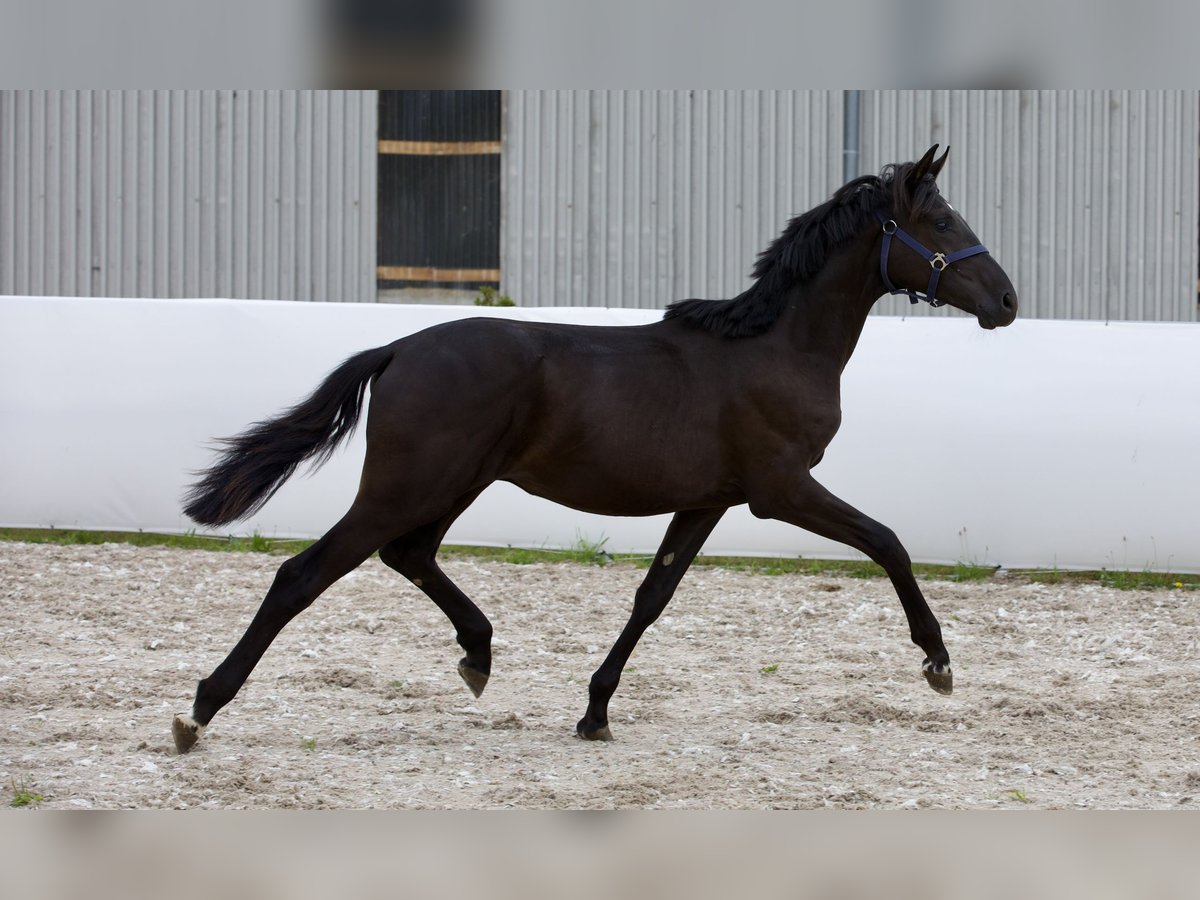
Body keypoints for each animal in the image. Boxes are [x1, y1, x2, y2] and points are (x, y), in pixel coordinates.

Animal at [174, 146, 1012, 753]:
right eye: (940, 220)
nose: (1006, 300)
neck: (776, 347)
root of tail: (399, 347)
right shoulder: (780, 490)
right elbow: (888, 541)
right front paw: (937, 663)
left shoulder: (708, 501)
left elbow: (653, 596)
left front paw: (595, 712)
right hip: (407, 485)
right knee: (304, 574)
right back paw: (199, 711)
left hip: (453, 484)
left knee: (408, 554)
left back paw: (478, 654)